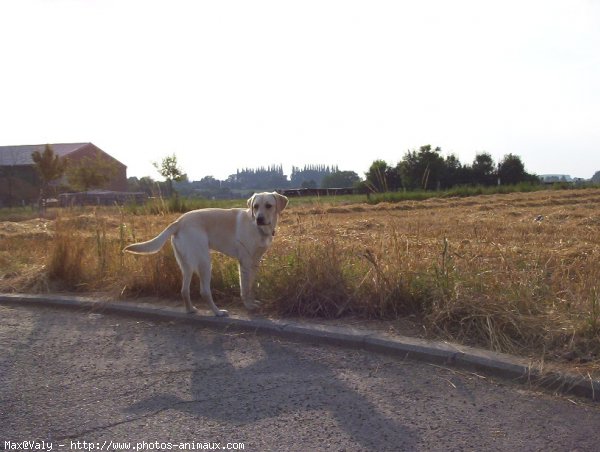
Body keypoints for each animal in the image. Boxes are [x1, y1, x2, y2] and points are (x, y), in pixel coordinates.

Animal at [122, 192, 288, 316]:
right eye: (255, 206)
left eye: (268, 206)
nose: (259, 219)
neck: (259, 229)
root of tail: (178, 221)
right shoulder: (245, 263)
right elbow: (245, 288)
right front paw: (249, 306)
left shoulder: (255, 262)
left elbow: (252, 286)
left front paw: (253, 302)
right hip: (205, 263)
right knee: (204, 291)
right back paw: (217, 312)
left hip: (187, 265)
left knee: (184, 290)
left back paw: (190, 310)